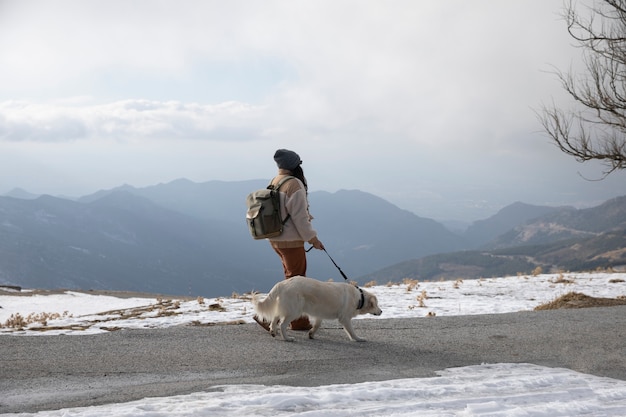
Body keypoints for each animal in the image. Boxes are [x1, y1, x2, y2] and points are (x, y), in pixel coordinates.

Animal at [252, 274, 380, 340]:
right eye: (377, 304)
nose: (381, 311)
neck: (359, 298)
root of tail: (282, 283)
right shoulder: (345, 318)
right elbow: (351, 331)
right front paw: (358, 338)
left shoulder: (319, 313)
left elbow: (317, 325)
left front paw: (311, 334)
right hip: (294, 311)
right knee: (282, 325)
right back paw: (287, 338)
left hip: (286, 307)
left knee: (274, 318)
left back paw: (273, 331)